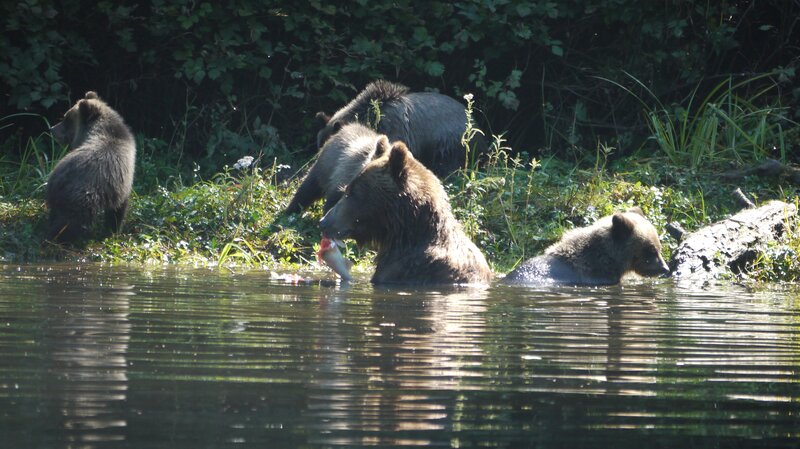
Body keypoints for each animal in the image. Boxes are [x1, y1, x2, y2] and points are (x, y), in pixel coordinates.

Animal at [46, 91, 136, 243]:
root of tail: (57, 179)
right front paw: (113, 230)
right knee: (69, 221)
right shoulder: (121, 182)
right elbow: (118, 209)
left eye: (66, 118)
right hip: (83, 197)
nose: (52, 129)